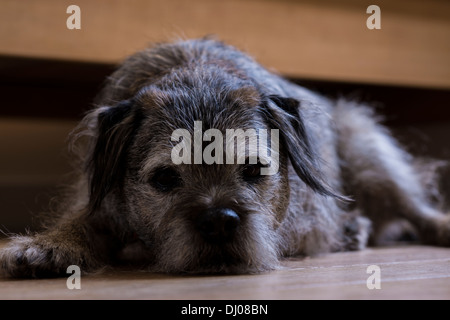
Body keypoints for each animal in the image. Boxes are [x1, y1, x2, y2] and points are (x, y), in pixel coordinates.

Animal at [0, 38, 450, 278]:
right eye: (165, 179)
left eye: (253, 169)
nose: (218, 220)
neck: (197, 74)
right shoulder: (100, 199)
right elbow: (83, 220)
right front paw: (49, 245)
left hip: (364, 144)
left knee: (413, 208)